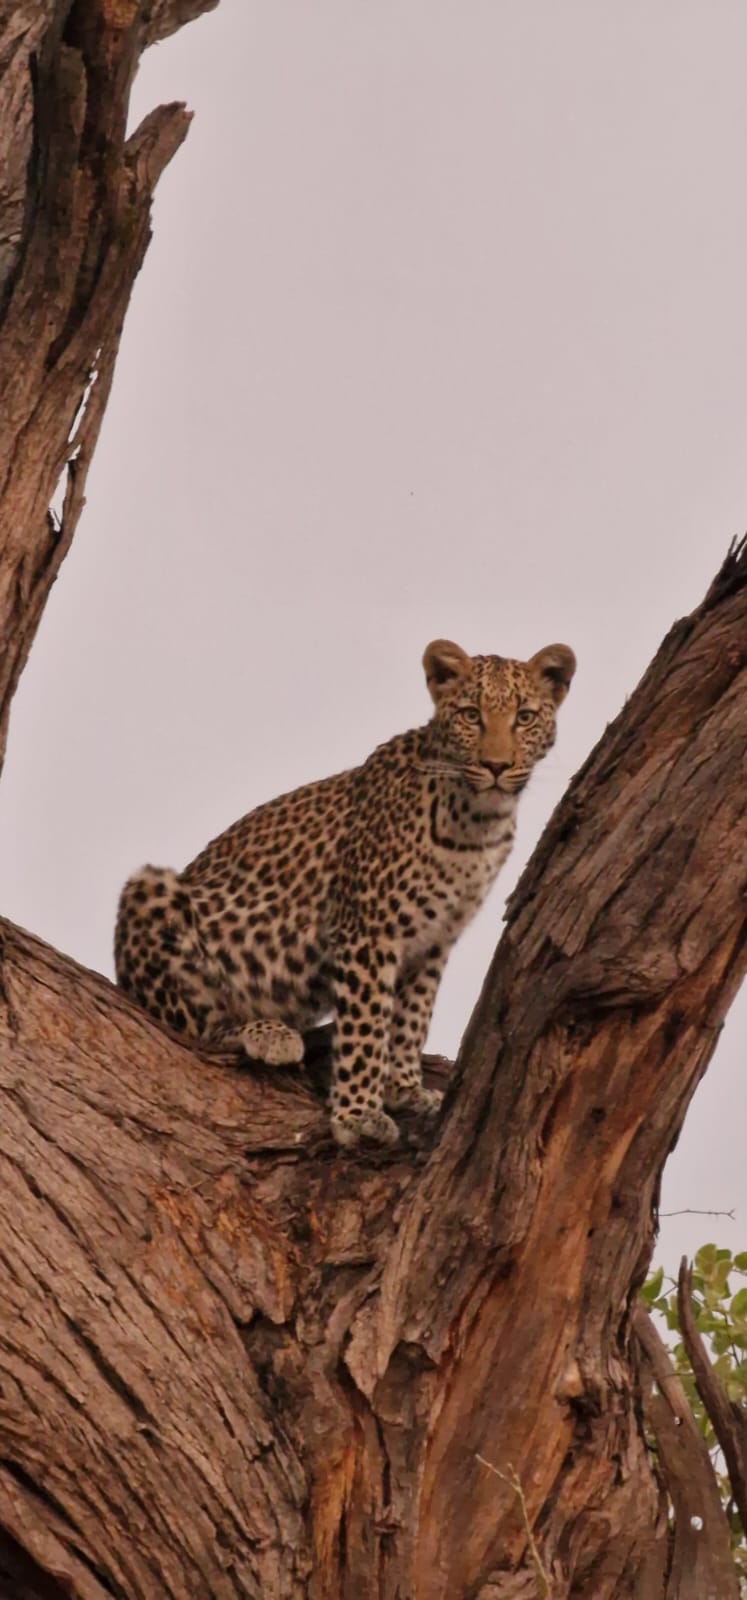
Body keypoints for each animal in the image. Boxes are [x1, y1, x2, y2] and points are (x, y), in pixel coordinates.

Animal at [114, 638, 575, 1147]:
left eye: (525, 717)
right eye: (471, 715)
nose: (496, 766)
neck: (477, 822)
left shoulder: (434, 939)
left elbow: (412, 1017)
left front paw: (404, 1089)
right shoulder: (369, 931)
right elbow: (367, 1025)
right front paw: (357, 1115)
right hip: (150, 890)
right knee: (187, 1022)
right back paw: (264, 1033)